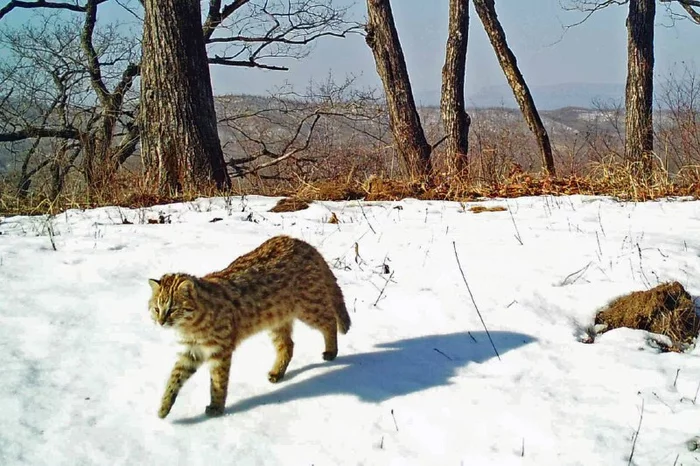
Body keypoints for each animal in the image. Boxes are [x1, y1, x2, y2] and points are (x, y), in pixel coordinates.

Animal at [148, 235, 350, 416]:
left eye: (173, 309)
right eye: (156, 309)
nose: (161, 322)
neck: (191, 326)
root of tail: (303, 243)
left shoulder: (220, 350)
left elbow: (218, 381)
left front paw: (216, 407)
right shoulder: (191, 351)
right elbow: (175, 376)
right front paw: (164, 407)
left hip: (309, 306)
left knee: (329, 320)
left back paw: (331, 351)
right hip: (277, 318)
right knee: (288, 344)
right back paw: (277, 372)